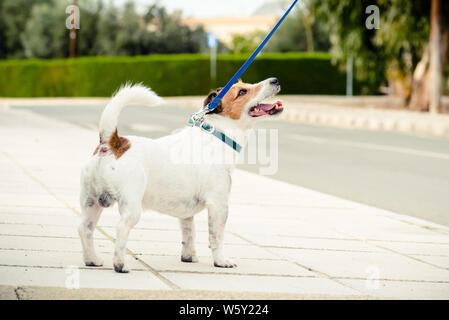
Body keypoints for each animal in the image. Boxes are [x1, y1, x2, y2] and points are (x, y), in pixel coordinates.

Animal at [76, 77, 280, 272]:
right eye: (242, 91)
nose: (275, 80)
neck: (218, 135)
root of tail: (111, 143)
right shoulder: (219, 205)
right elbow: (216, 237)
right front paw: (221, 261)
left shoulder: (186, 214)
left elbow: (189, 234)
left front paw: (189, 257)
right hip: (131, 205)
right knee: (121, 229)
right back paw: (120, 265)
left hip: (91, 202)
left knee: (84, 228)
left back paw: (92, 260)